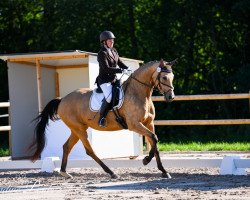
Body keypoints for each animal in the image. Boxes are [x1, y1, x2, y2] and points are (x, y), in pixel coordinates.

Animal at [29, 58, 176, 179]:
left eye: (172, 77)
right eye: (164, 77)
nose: (171, 97)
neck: (138, 93)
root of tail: (62, 99)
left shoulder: (149, 123)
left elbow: (155, 143)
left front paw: (163, 171)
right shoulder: (134, 125)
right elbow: (154, 139)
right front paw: (146, 160)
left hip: (76, 129)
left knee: (66, 147)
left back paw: (64, 172)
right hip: (79, 129)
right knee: (89, 151)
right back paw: (111, 172)